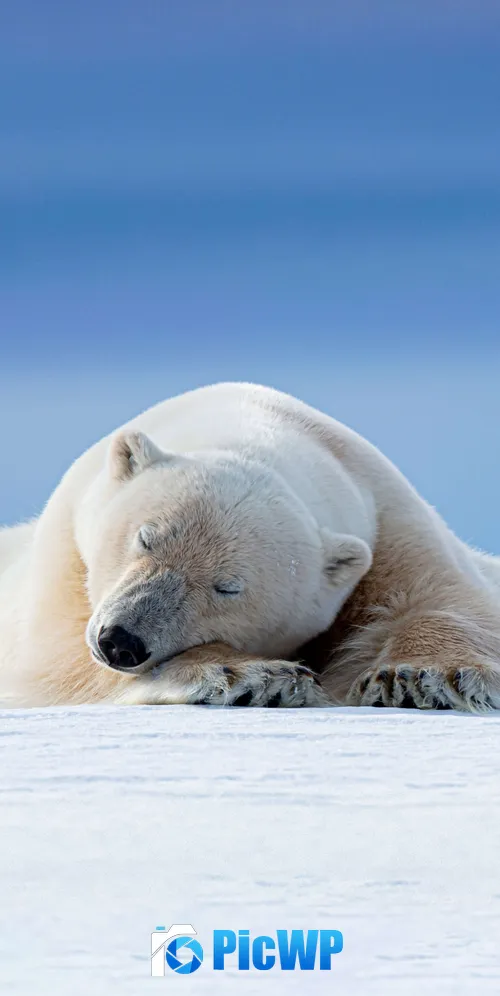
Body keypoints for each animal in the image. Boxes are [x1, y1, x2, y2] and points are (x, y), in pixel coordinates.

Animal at [1, 381, 500, 713]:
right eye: (146, 538)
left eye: (227, 588)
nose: (121, 642)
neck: (254, 425)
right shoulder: (65, 554)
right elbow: (54, 660)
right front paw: (256, 675)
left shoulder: (389, 517)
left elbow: (448, 600)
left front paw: (424, 676)